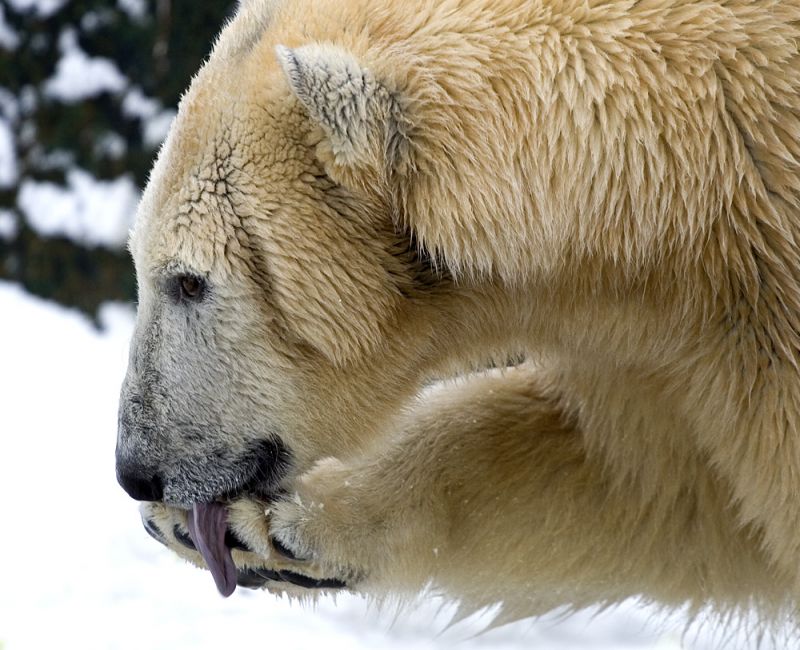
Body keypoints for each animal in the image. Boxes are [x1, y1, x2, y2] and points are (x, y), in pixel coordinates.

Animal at [115, 0, 800, 628]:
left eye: (189, 282)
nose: (136, 472)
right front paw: (261, 528)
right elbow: (653, 491)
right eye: (140, 262)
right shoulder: (657, 333)